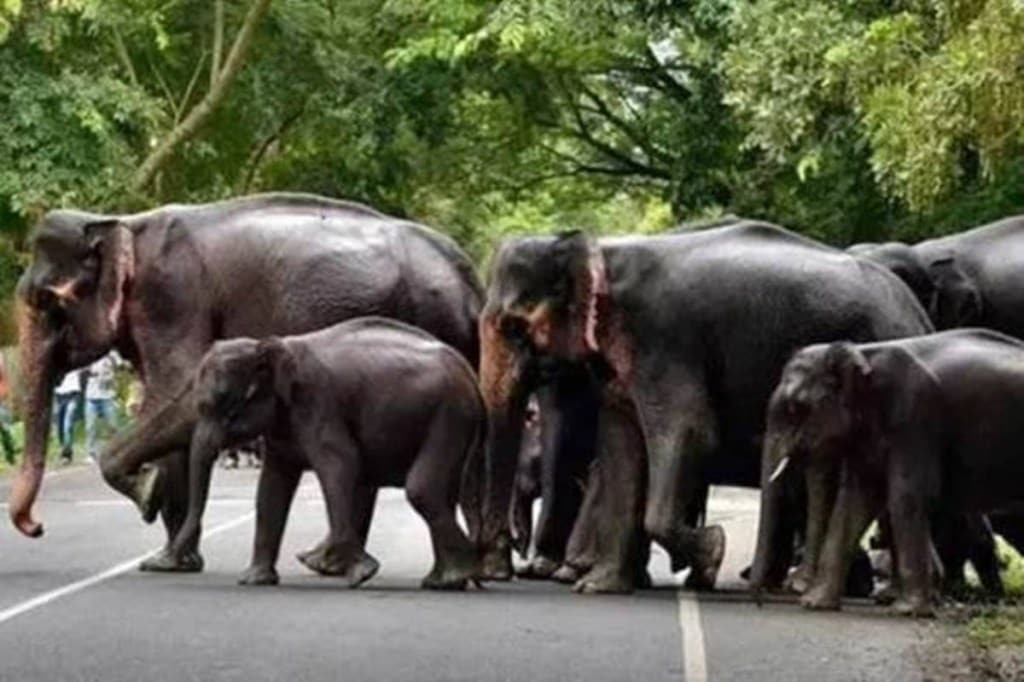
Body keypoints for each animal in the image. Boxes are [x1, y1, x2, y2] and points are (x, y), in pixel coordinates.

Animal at [168, 318, 484, 589]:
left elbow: (341, 465)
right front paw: (253, 581)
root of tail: (469, 372)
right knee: (441, 494)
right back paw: (445, 581)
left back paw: (464, 571)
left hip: (450, 415)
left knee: (422, 490)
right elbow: (271, 486)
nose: (170, 560)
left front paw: (363, 574)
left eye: (225, 406)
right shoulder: (283, 424)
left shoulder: (318, 402)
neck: (273, 345)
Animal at [477, 221, 933, 593]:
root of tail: (918, 313)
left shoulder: (664, 341)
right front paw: (598, 587)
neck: (600, 248)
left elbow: (690, 432)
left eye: (513, 327)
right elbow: (621, 443)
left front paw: (712, 552)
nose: (497, 572)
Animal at [755, 329, 1024, 616]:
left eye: (795, 407)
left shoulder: (914, 418)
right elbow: (854, 501)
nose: (760, 600)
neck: (863, 352)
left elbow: (906, 496)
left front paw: (906, 610)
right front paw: (815, 604)